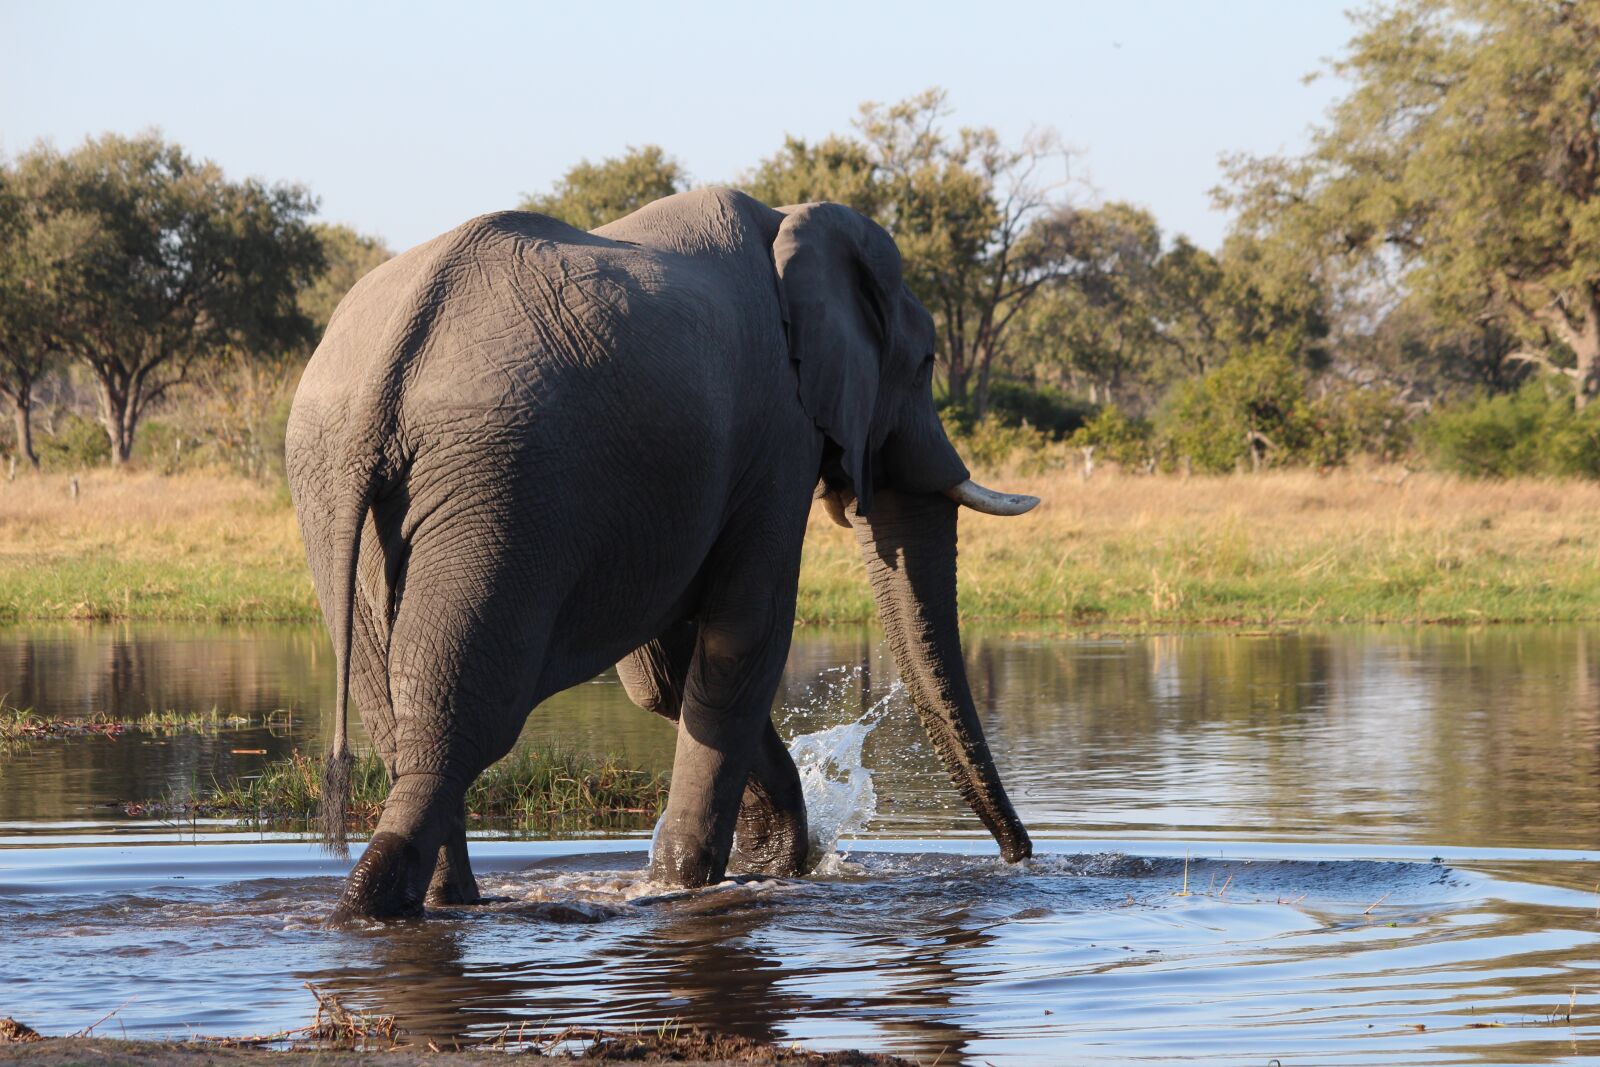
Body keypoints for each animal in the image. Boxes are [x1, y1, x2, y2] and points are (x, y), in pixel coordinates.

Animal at [286, 187, 1037, 921]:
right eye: (926, 363)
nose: (1019, 857)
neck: (791, 221)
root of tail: (390, 362)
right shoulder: (778, 431)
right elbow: (746, 638)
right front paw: (696, 882)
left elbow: (665, 676)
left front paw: (764, 860)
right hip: (498, 483)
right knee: (458, 724)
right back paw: (379, 906)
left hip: (340, 489)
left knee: (401, 722)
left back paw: (447, 903)